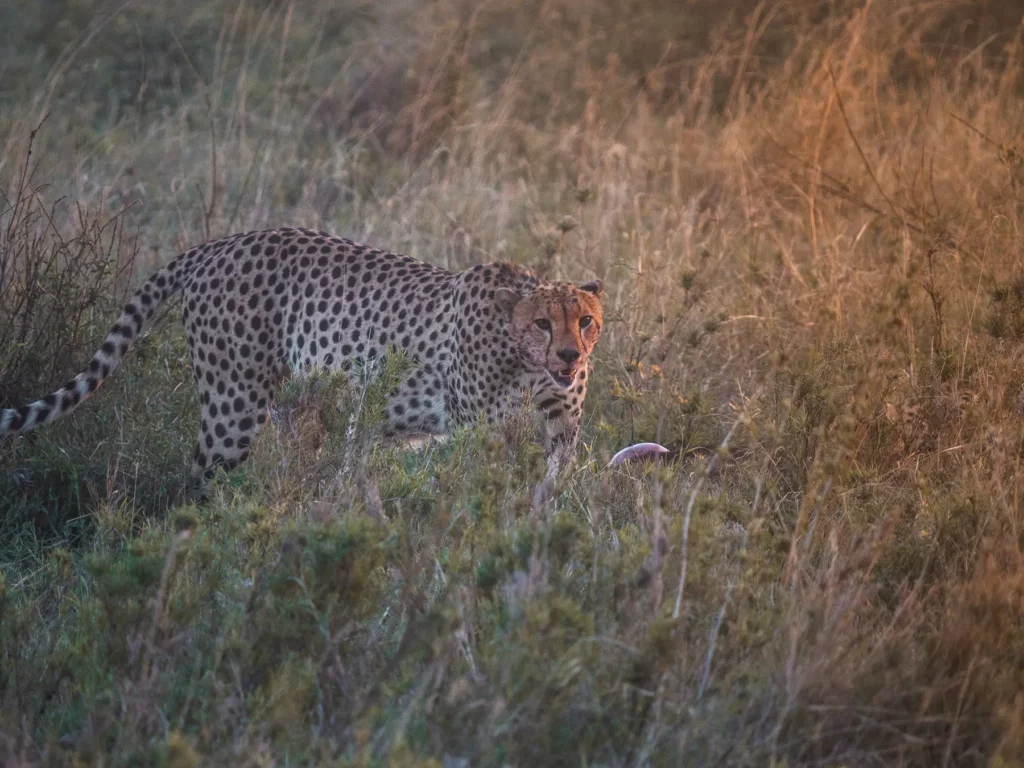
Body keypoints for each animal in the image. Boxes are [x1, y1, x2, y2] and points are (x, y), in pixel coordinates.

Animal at [0, 227, 604, 486]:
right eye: (543, 323)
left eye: (585, 320)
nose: (570, 355)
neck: (526, 364)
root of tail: (224, 242)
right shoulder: (482, 433)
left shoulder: (559, 433)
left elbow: (549, 489)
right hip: (232, 410)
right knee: (198, 479)